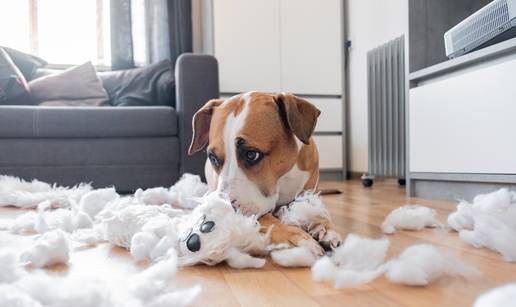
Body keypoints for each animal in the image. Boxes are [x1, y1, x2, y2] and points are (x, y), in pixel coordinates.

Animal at [189, 91, 342, 253]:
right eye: (213, 158)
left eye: (251, 154)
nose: (222, 210)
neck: (283, 178)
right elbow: (270, 220)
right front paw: (297, 237)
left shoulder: (309, 192)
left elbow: (317, 208)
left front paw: (325, 227)